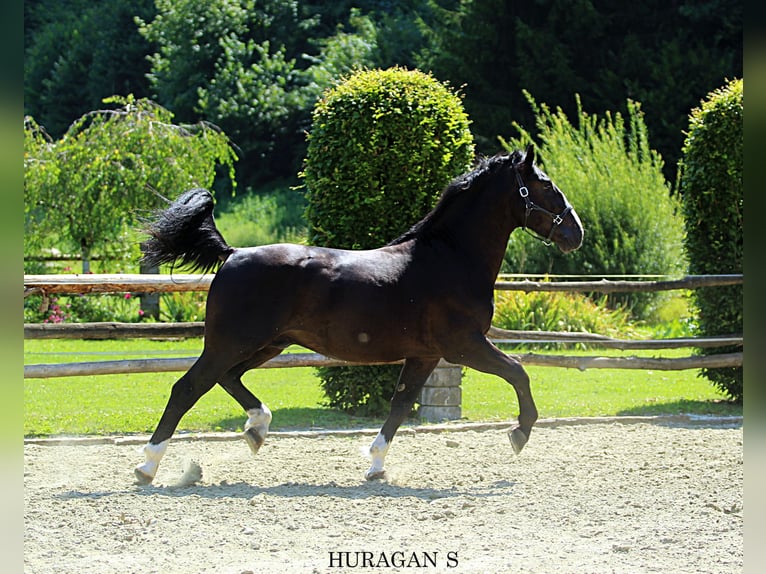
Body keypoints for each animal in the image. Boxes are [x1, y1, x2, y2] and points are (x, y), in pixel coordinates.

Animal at [136, 146, 584, 484]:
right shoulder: (464, 345)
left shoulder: (425, 355)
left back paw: (257, 430)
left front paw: (376, 466)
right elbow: (518, 371)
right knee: (187, 388)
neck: (450, 258)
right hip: (231, 342)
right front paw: (519, 433)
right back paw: (147, 466)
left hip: (267, 343)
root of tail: (232, 254)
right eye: (545, 185)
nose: (576, 233)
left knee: (228, 378)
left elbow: (400, 406)